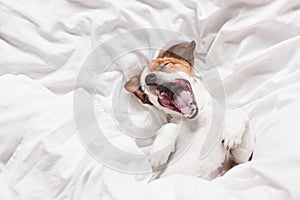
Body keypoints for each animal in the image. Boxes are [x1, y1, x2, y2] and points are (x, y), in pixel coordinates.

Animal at [125, 41, 254, 180]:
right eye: (143, 86)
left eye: (165, 64)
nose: (148, 78)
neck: (196, 120)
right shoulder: (156, 175)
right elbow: (169, 126)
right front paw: (159, 152)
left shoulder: (241, 160)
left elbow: (240, 112)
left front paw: (232, 132)